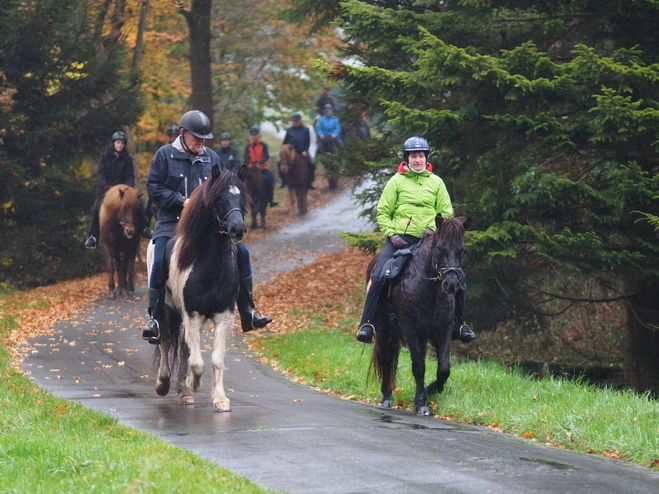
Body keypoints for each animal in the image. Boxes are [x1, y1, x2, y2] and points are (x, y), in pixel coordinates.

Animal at [148, 166, 249, 412]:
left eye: (242, 196)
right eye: (220, 199)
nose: (238, 230)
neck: (211, 267)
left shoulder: (224, 316)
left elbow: (216, 359)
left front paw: (220, 398)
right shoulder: (192, 315)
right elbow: (196, 362)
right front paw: (194, 383)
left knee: (183, 348)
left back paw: (183, 391)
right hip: (166, 312)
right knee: (165, 342)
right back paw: (164, 384)